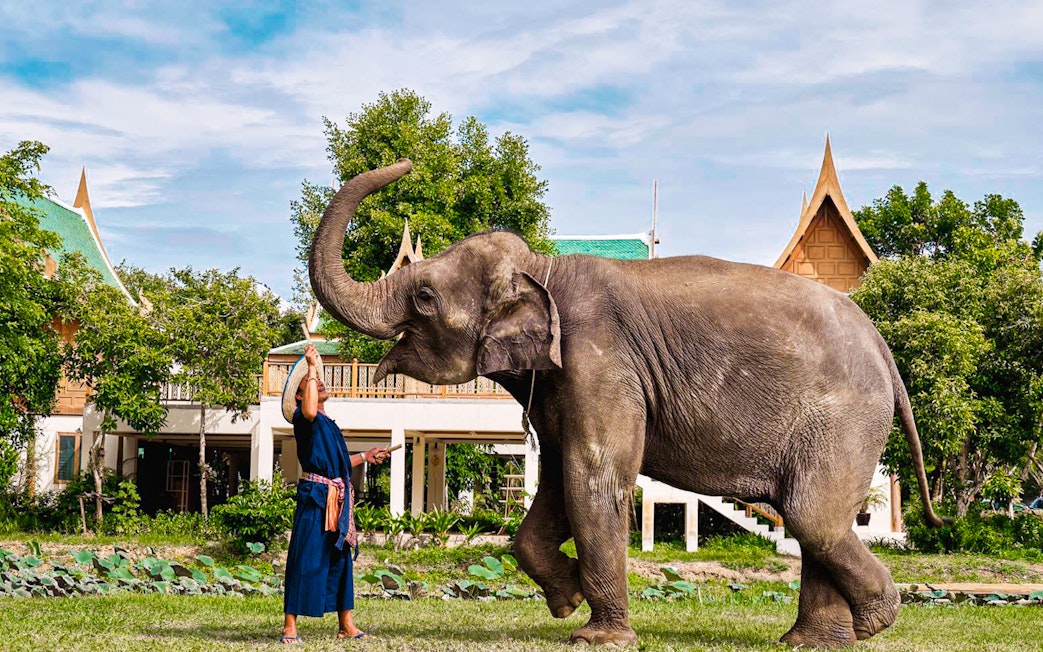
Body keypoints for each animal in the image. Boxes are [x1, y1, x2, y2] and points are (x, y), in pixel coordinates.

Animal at [308, 159, 946, 648]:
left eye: (423, 297)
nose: (408, 167)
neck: (543, 269)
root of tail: (883, 345)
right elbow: (559, 479)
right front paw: (566, 600)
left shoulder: (601, 362)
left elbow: (593, 475)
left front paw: (595, 637)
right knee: (812, 517)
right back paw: (811, 642)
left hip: (843, 418)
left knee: (812, 516)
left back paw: (874, 621)